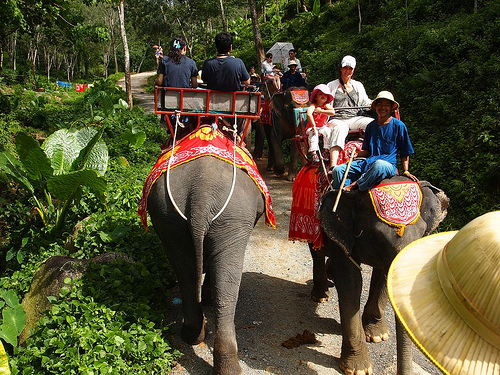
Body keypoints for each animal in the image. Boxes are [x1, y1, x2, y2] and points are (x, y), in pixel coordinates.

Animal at [143, 134, 272, 374]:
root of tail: (201, 193)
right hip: (233, 218)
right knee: (227, 284)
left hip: (168, 217)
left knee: (184, 271)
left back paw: (194, 336)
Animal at [312, 176, 450, 375]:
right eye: (377, 237)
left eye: (423, 232)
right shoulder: (342, 232)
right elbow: (351, 282)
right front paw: (358, 369)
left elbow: (384, 276)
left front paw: (378, 336)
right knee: (316, 251)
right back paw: (321, 296)